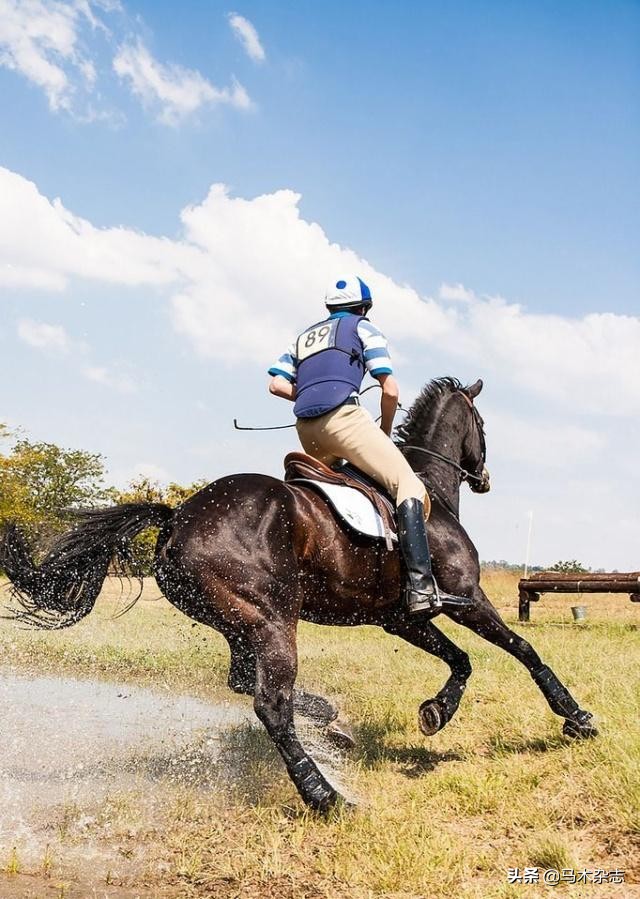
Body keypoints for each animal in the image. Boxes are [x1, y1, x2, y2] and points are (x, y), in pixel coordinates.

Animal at [0, 376, 596, 812]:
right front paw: (576, 717)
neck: (427, 489)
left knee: (246, 682)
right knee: (270, 704)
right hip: (271, 621)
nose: (485, 476)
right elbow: (523, 649)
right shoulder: (467, 598)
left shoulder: (401, 617)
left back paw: (331, 725)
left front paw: (435, 712)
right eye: (482, 425)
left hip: (239, 622)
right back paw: (325, 795)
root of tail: (178, 519)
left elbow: (461, 659)